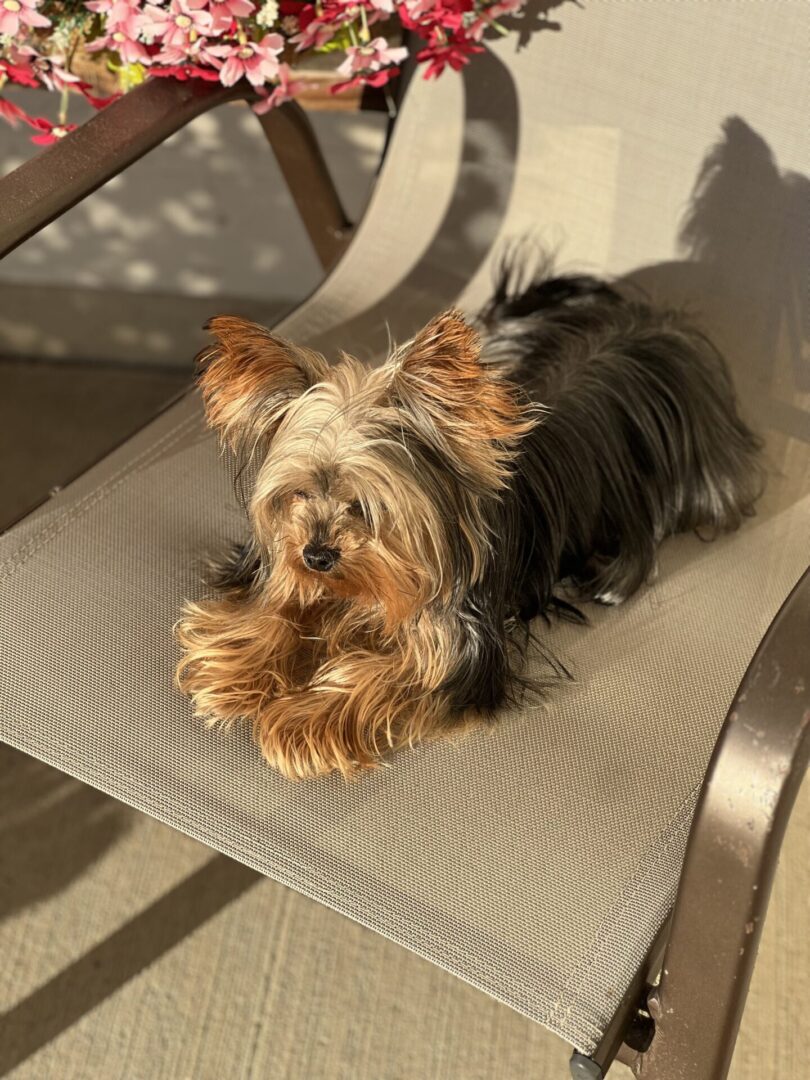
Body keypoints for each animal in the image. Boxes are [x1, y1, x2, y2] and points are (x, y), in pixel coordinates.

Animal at [174, 257, 764, 781]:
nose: (317, 554)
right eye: (297, 494)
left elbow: (393, 671)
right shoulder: (285, 567)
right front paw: (234, 667)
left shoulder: (462, 645)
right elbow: (280, 607)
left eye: (364, 507)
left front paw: (301, 720)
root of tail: (655, 322)